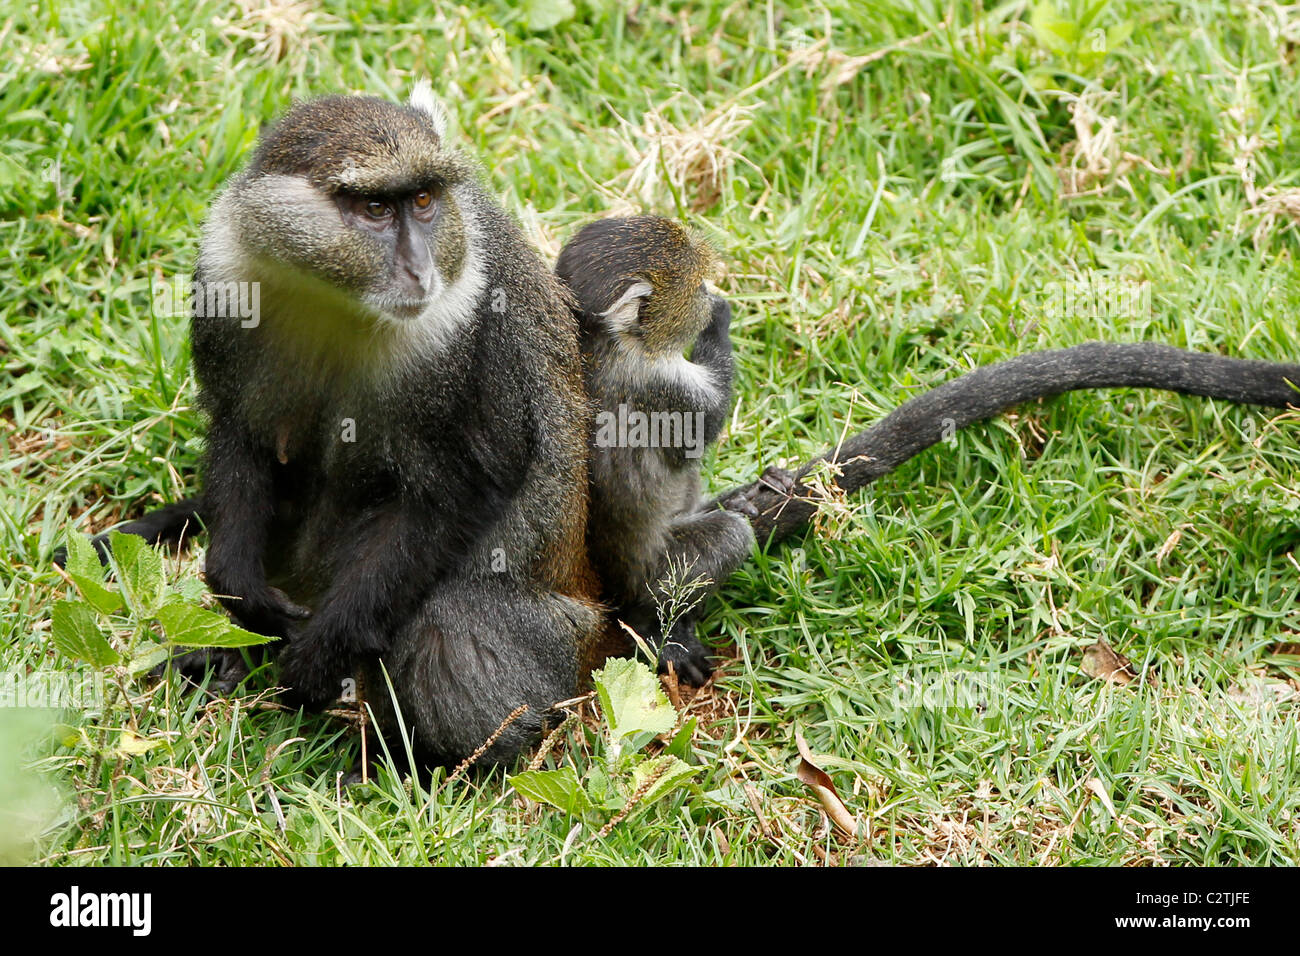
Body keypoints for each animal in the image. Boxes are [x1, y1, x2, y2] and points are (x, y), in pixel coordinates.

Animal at [555, 216, 756, 685]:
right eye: (695, 285)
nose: (708, 295)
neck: (605, 341)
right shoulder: (662, 386)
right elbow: (705, 423)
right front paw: (719, 316)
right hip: (659, 573)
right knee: (731, 536)